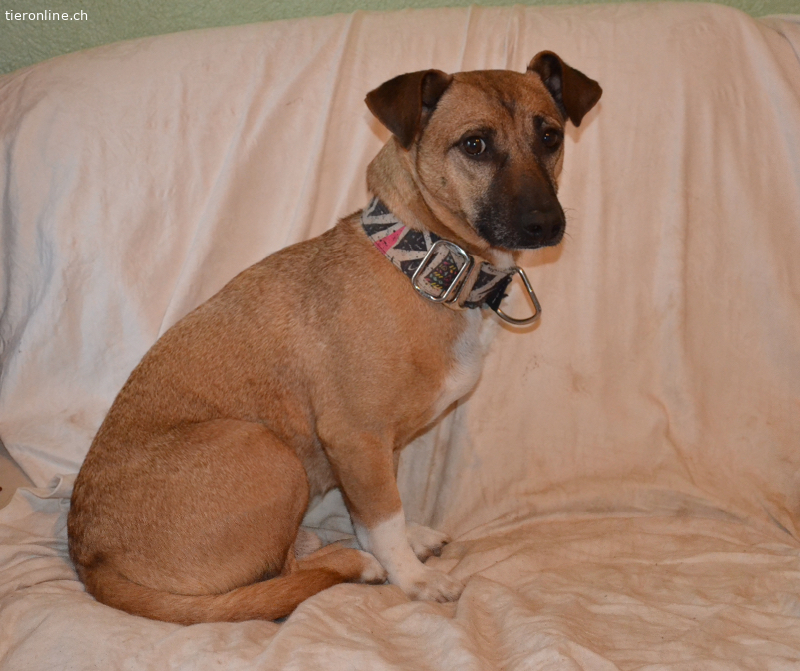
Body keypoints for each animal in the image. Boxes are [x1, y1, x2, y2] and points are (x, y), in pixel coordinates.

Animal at [67, 52, 601, 625]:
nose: (545, 223)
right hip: (269, 451)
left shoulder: (378, 449)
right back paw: (351, 563)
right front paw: (410, 577)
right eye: (475, 144)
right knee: (279, 574)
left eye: (549, 136)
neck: (424, 264)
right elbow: (383, 517)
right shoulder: (356, 436)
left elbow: (378, 513)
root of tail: (90, 559)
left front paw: (407, 547)